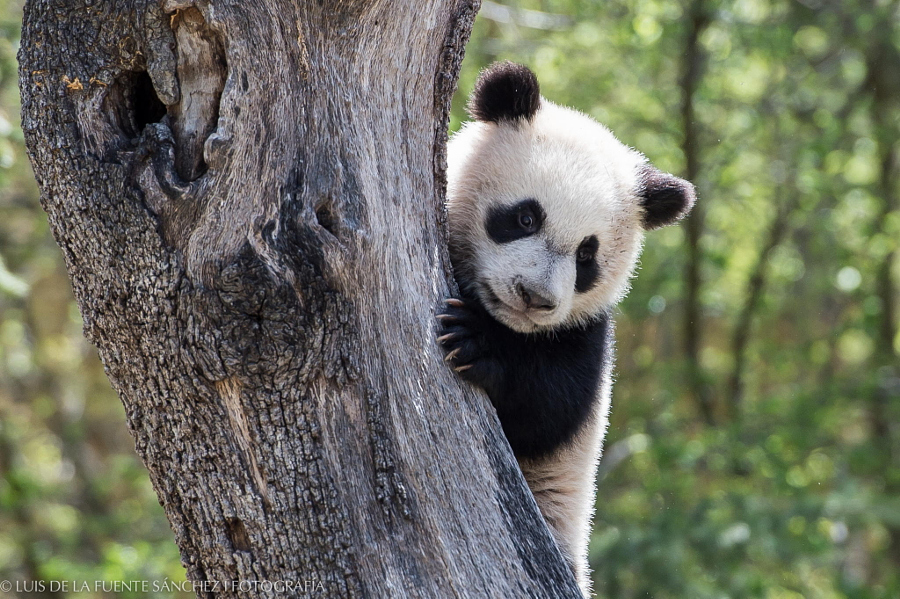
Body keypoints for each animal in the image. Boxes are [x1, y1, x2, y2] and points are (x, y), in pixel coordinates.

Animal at [436, 62, 696, 596]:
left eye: (587, 255)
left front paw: (474, 343)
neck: (508, 324)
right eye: (525, 217)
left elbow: (548, 412)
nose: (534, 298)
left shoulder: (586, 336)